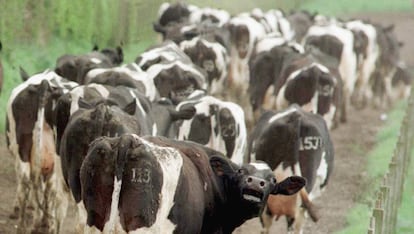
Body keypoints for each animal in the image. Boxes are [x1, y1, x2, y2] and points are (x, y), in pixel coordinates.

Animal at [5, 70, 78, 234]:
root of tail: (44, 84)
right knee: (46, 186)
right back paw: (43, 223)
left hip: (24, 149)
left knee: (28, 181)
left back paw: (25, 225)